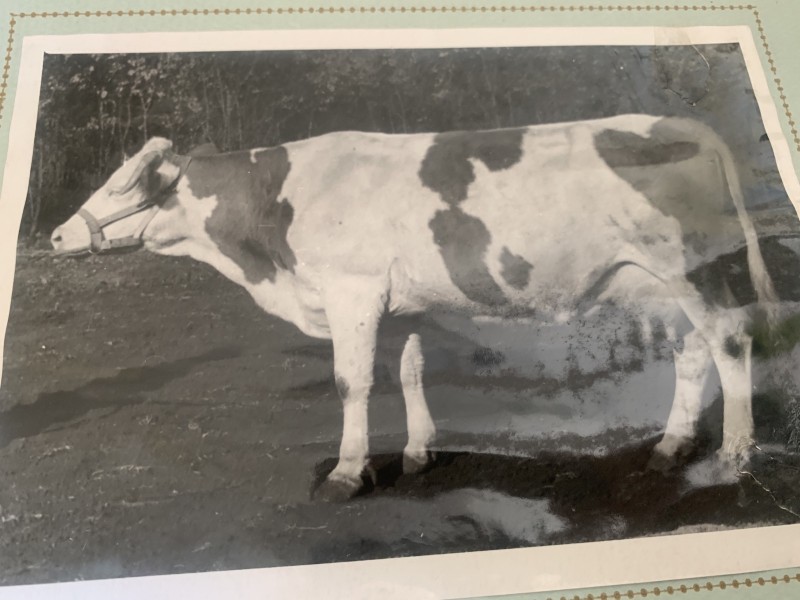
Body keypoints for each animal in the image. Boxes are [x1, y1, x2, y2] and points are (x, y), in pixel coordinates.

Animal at [50, 114, 779, 501]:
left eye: (124, 185)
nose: (56, 236)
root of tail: (683, 123)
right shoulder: (398, 306)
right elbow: (408, 373)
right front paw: (418, 453)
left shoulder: (352, 290)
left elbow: (352, 381)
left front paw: (348, 472)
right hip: (661, 283)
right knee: (692, 350)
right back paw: (671, 446)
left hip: (694, 268)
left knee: (730, 342)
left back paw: (732, 458)